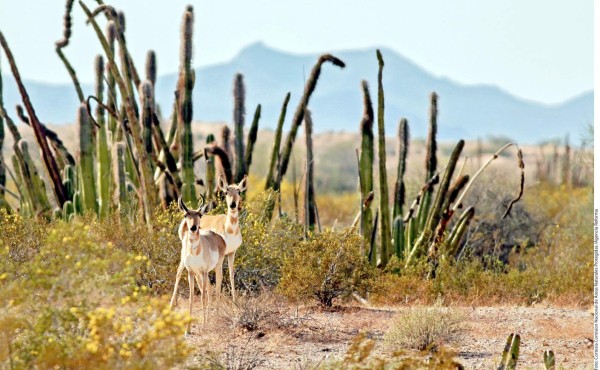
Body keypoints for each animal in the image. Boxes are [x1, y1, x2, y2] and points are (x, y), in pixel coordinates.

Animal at [170, 195, 226, 334]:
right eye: (185, 215)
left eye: (199, 215)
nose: (193, 228)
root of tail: (218, 237)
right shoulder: (191, 273)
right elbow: (191, 299)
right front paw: (188, 330)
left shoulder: (204, 272)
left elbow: (202, 298)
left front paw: (204, 326)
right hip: (199, 275)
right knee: (210, 290)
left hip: (216, 268)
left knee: (217, 290)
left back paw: (216, 318)